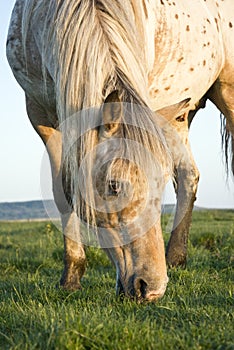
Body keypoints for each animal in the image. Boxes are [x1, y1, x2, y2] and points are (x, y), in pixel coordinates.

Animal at [6, 0, 233, 300]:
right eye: (113, 186)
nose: (152, 288)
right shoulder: (41, 114)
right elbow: (63, 192)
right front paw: (71, 276)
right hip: (179, 116)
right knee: (188, 175)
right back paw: (176, 258)